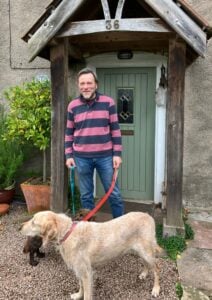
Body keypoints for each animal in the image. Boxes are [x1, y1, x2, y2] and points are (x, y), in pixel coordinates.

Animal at [21, 210, 161, 298]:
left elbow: (87, 294)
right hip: (139, 251)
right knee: (146, 264)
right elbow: (81, 287)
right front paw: (78, 295)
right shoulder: (79, 271)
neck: (67, 233)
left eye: (33, 222)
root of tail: (149, 216)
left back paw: (156, 289)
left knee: (156, 268)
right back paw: (144, 274)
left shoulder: (86, 273)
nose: (20, 227)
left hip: (146, 251)